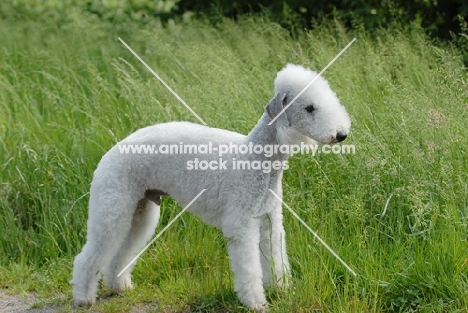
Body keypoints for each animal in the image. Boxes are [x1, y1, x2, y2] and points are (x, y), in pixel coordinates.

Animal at [71, 62, 352, 310]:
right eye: (309, 108)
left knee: (120, 253)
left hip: (140, 210)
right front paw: (256, 302)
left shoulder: (269, 220)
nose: (341, 135)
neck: (256, 156)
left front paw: (283, 291)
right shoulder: (241, 224)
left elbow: (276, 259)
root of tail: (111, 152)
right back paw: (83, 298)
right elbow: (249, 268)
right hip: (113, 206)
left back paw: (120, 286)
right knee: (88, 257)